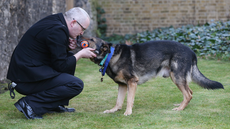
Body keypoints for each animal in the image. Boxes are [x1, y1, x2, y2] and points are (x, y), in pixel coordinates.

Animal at [77, 36, 223, 116]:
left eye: (91, 39)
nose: (77, 38)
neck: (110, 55)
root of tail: (192, 52)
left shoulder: (132, 82)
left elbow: (129, 100)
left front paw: (128, 112)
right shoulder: (122, 85)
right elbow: (118, 101)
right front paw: (113, 110)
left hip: (176, 77)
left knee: (188, 94)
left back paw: (180, 108)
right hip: (178, 78)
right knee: (189, 92)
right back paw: (182, 105)